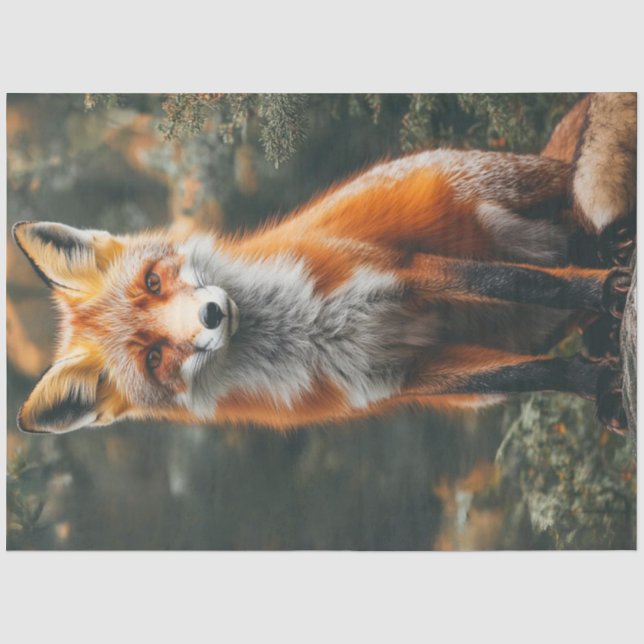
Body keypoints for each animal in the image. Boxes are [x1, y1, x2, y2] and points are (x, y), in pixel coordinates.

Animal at [12, 93, 636, 435]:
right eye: (154, 358)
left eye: (153, 280)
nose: (213, 315)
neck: (302, 330)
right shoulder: (405, 374)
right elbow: (535, 374)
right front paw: (595, 378)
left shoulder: (404, 271)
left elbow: (529, 283)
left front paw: (606, 291)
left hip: (501, 198)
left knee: (573, 215)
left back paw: (608, 258)